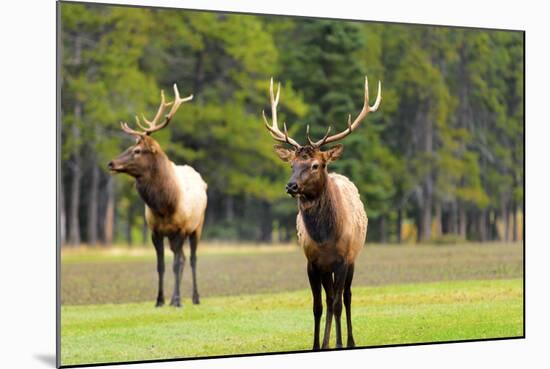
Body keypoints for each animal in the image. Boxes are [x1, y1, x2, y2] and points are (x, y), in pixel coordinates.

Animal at [109, 83, 208, 308]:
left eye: (137, 150)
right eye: (129, 147)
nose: (111, 163)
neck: (165, 205)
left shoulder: (181, 229)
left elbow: (176, 264)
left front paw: (178, 300)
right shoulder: (155, 231)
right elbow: (161, 266)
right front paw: (160, 300)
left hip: (197, 227)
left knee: (191, 259)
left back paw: (195, 298)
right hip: (173, 236)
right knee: (181, 259)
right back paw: (173, 299)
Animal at [266, 75, 382, 348]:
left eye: (316, 165)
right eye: (292, 164)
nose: (291, 186)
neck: (325, 238)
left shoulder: (343, 260)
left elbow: (339, 303)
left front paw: (339, 343)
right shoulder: (312, 262)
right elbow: (318, 306)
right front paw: (318, 344)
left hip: (353, 259)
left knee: (346, 297)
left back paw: (349, 340)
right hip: (325, 269)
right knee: (329, 300)